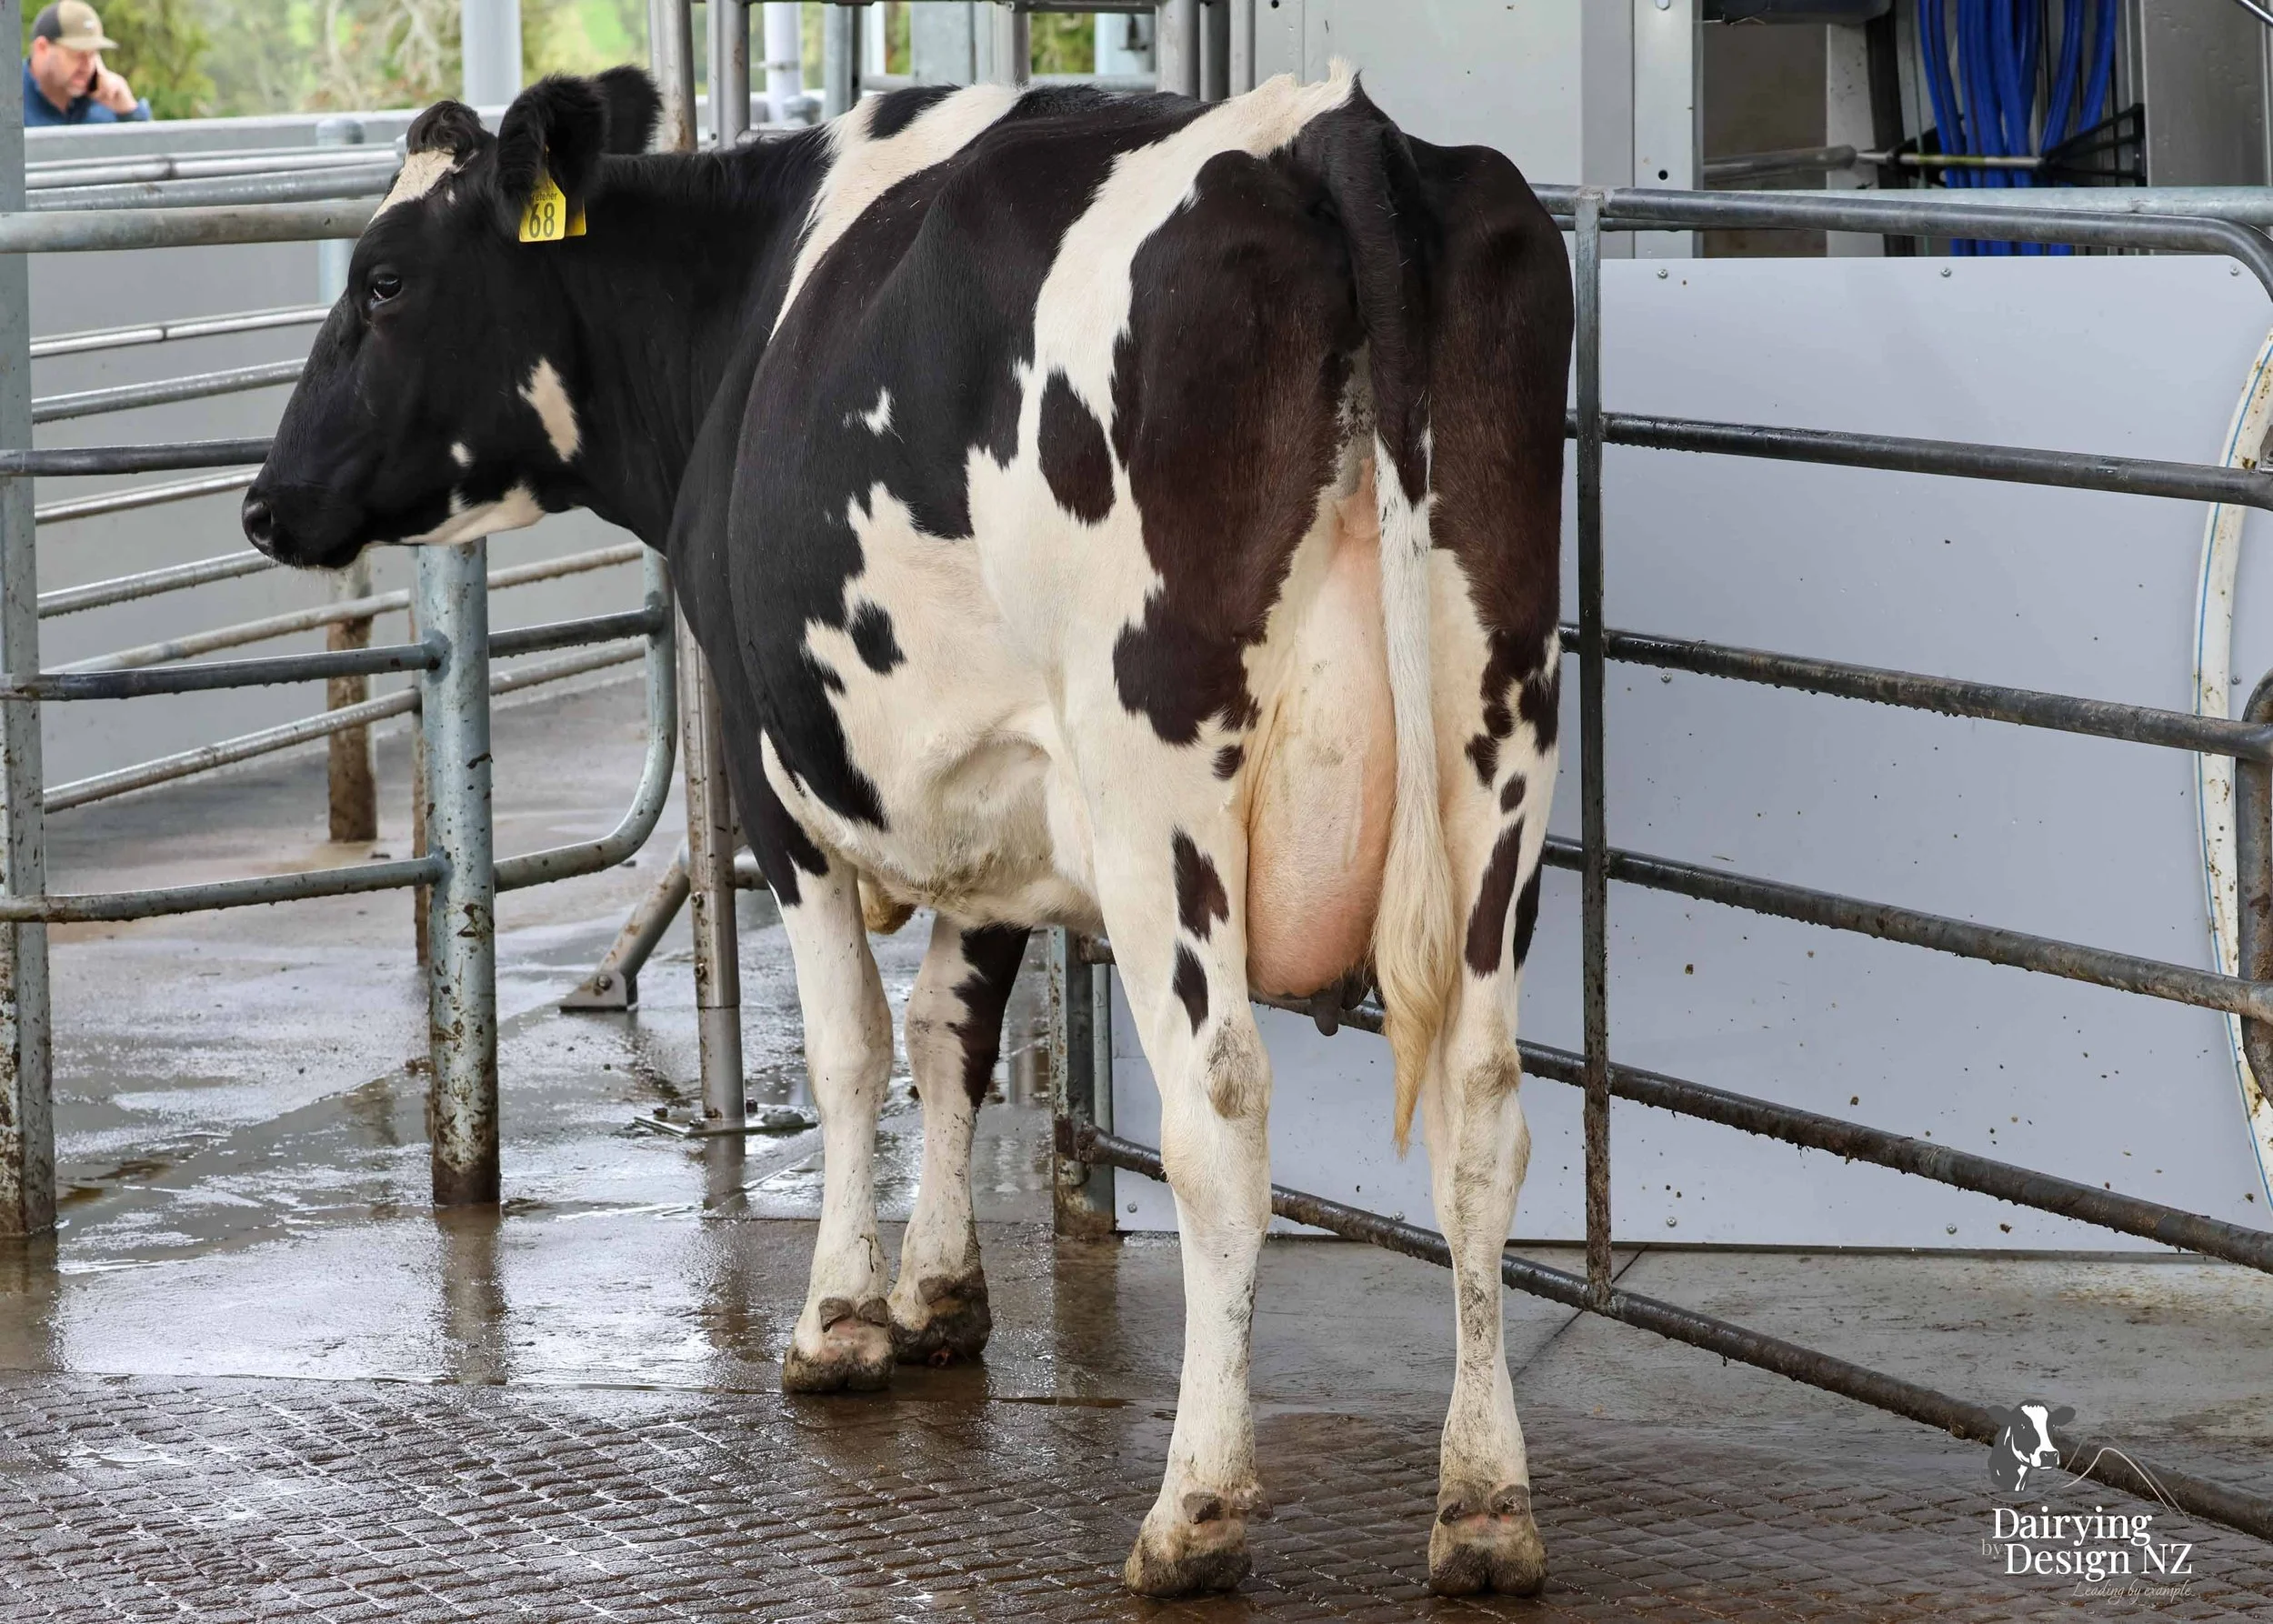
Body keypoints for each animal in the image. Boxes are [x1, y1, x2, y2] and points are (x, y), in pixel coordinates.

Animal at [242, 65, 1572, 1596]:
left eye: (383, 279)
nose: (264, 501)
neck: (735, 305)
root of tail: (1323, 126)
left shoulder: (771, 769)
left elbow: (851, 1048)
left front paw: (840, 1317)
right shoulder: (996, 789)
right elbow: (951, 1027)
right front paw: (941, 1293)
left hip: (1158, 786)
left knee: (1222, 1108)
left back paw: (1195, 1508)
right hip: (1500, 752)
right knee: (1482, 1105)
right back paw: (1485, 1506)